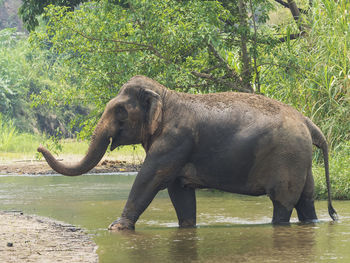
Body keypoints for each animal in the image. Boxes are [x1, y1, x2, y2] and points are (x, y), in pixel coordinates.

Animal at [37, 75, 336, 230]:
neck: (166, 95)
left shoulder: (175, 140)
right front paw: (187, 228)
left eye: (120, 110)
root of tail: (308, 122)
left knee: (282, 203)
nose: (39, 147)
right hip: (301, 160)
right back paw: (312, 221)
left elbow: (150, 178)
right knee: (306, 200)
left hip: (287, 158)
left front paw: (116, 228)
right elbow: (178, 191)